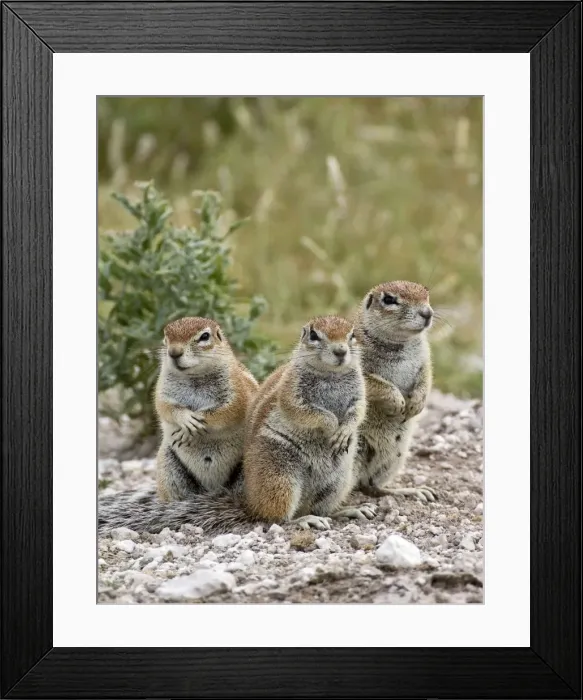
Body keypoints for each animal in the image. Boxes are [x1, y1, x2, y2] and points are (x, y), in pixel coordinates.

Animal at [99, 316, 377, 534]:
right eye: (315, 335)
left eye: (352, 335)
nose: (341, 352)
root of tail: (246, 501)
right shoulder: (291, 393)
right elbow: (305, 412)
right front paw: (330, 423)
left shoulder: (359, 394)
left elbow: (358, 412)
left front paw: (344, 429)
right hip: (279, 476)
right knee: (275, 517)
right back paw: (303, 520)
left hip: (338, 481)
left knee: (321, 508)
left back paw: (348, 511)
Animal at [352, 281, 437, 503]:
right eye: (389, 299)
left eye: (426, 293)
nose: (427, 313)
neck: (401, 342)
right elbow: (374, 383)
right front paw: (397, 402)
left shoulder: (425, 361)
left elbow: (426, 378)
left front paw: (416, 403)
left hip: (395, 458)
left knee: (372, 487)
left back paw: (411, 491)